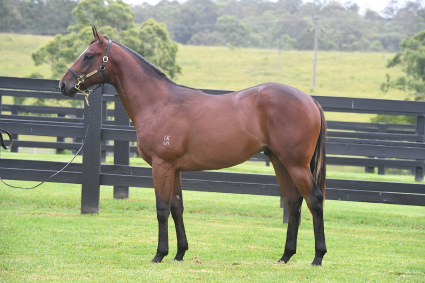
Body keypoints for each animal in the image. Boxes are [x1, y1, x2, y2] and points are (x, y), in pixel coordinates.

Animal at [59, 27, 326, 268]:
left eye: (88, 56)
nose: (63, 84)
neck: (159, 102)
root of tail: (310, 100)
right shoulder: (175, 169)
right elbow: (177, 207)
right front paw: (179, 253)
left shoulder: (162, 166)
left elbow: (162, 209)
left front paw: (159, 254)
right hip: (280, 161)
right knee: (293, 202)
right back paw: (285, 256)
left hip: (296, 164)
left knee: (314, 200)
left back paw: (318, 257)